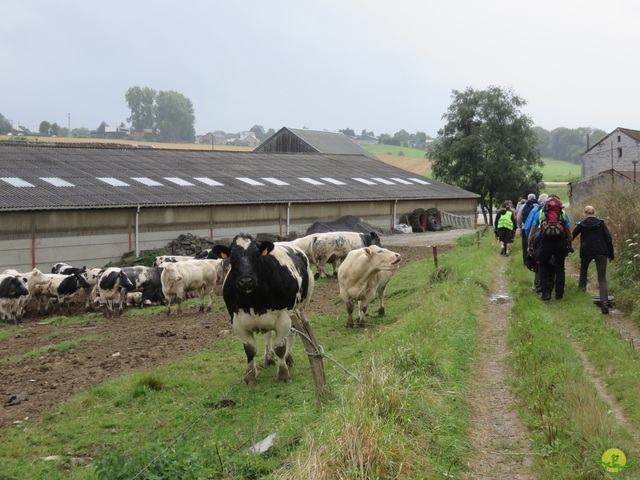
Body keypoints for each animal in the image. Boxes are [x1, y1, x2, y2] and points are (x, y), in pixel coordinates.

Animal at [212, 234, 316, 384]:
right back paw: (269, 358)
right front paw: (249, 376)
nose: (246, 281)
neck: (254, 302)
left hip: (299, 308)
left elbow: (280, 347)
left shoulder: (284, 318)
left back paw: (289, 358)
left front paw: (283, 374)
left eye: (256, 255)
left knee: (293, 333)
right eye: (232, 257)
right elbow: (250, 349)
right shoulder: (237, 321)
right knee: (268, 335)